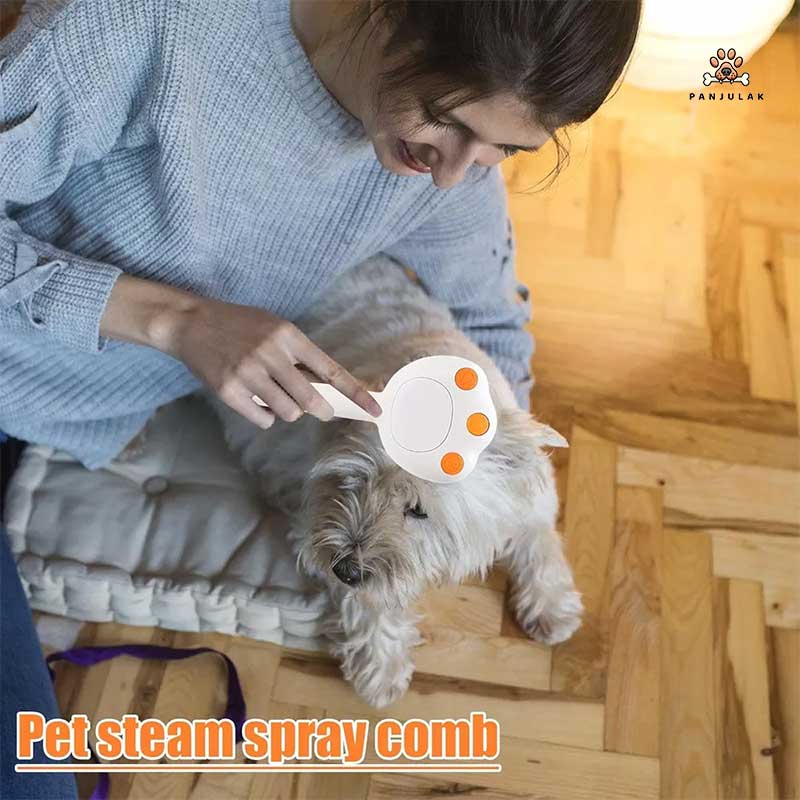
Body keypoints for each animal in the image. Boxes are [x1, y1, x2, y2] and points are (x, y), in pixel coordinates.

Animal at [208, 255, 582, 708]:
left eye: (417, 510)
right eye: (351, 481)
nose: (345, 569)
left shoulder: (528, 495)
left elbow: (539, 537)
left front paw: (553, 607)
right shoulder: (317, 519)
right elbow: (370, 602)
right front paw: (381, 667)